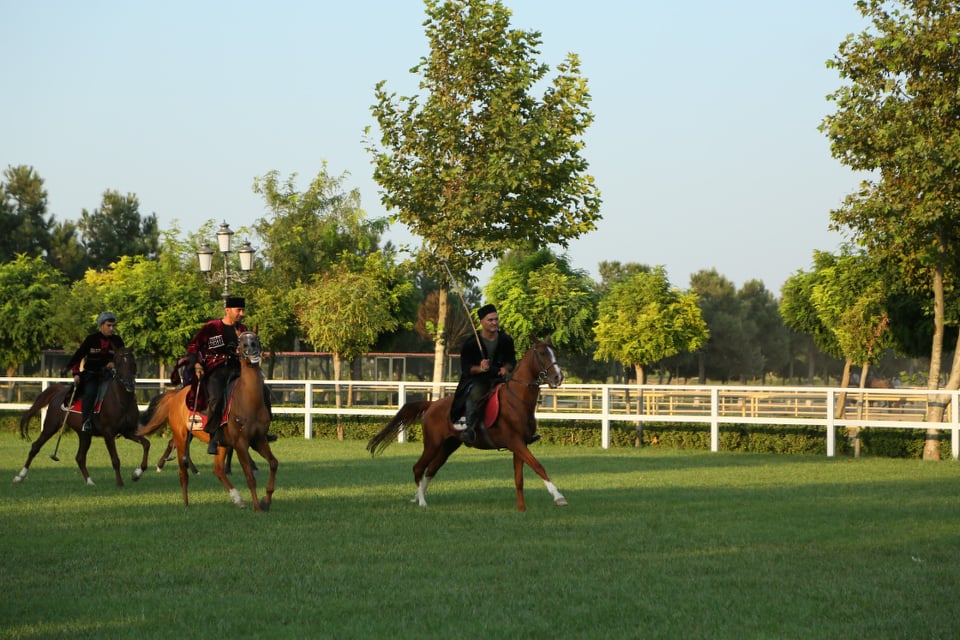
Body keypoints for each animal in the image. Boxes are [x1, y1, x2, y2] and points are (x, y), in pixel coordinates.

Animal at [13, 350, 150, 484]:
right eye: (119, 364)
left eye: (134, 364)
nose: (129, 383)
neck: (121, 400)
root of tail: (60, 391)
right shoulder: (108, 434)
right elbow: (115, 459)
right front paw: (120, 483)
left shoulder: (128, 431)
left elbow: (146, 444)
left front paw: (136, 474)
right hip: (51, 426)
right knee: (35, 447)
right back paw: (19, 476)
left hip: (84, 434)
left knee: (80, 457)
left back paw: (90, 482)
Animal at [135, 330, 278, 510]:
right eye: (241, 341)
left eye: (256, 338)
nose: (251, 348)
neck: (248, 400)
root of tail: (176, 395)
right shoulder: (241, 443)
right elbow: (249, 476)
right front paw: (258, 507)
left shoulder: (259, 440)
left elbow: (273, 463)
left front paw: (266, 500)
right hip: (182, 438)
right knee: (182, 471)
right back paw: (186, 502)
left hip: (220, 444)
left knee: (218, 470)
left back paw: (237, 499)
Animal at [366, 336, 564, 510]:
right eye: (542, 353)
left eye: (555, 352)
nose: (558, 377)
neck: (517, 400)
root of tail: (432, 404)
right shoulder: (515, 442)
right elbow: (538, 466)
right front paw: (558, 496)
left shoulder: (520, 445)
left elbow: (519, 478)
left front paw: (521, 508)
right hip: (432, 444)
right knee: (419, 468)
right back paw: (421, 501)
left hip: (449, 445)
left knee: (430, 470)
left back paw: (417, 497)